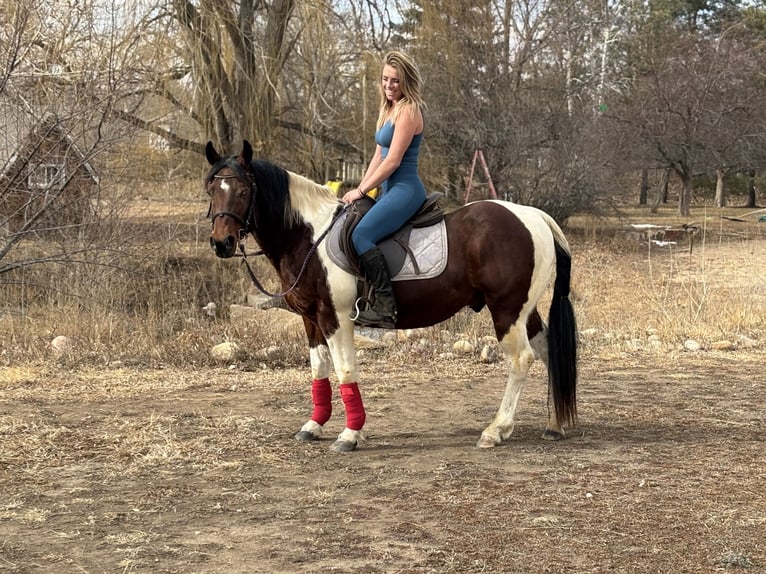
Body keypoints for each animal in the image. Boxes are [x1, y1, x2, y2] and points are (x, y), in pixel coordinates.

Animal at [204, 140, 578, 453]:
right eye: (211, 189)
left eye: (244, 190)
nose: (221, 243)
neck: (309, 235)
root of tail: (533, 215)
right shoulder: (311, 318)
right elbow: (318, 369)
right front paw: (313, 425)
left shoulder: (335, 317)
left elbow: (345, 370)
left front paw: (350, 434)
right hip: (524, 310)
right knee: (547, 350)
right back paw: (554, 425)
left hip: (506, 310)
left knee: (521, 360)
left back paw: (496, 429)